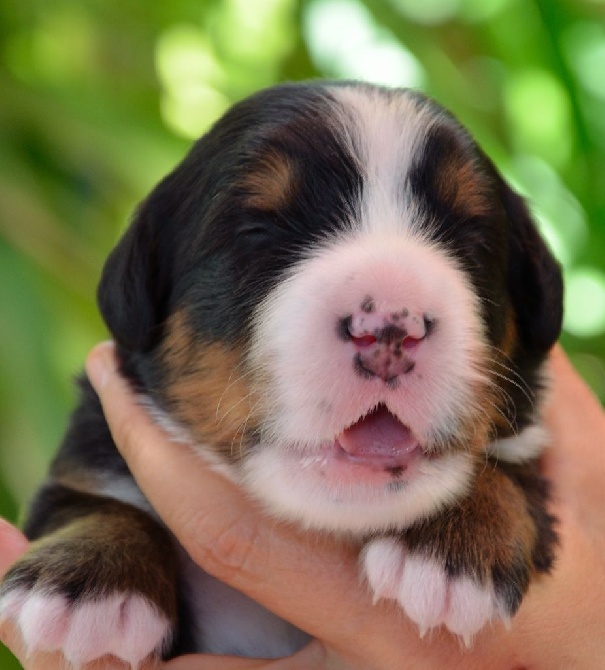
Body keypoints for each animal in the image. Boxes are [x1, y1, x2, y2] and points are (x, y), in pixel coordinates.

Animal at [0, 82, 560, 668]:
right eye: (258, 230)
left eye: (471, 240)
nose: (389, 325)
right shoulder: (95, 443)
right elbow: (95, 498)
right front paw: (93, 583)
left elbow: (512, 469)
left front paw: (454, 545)